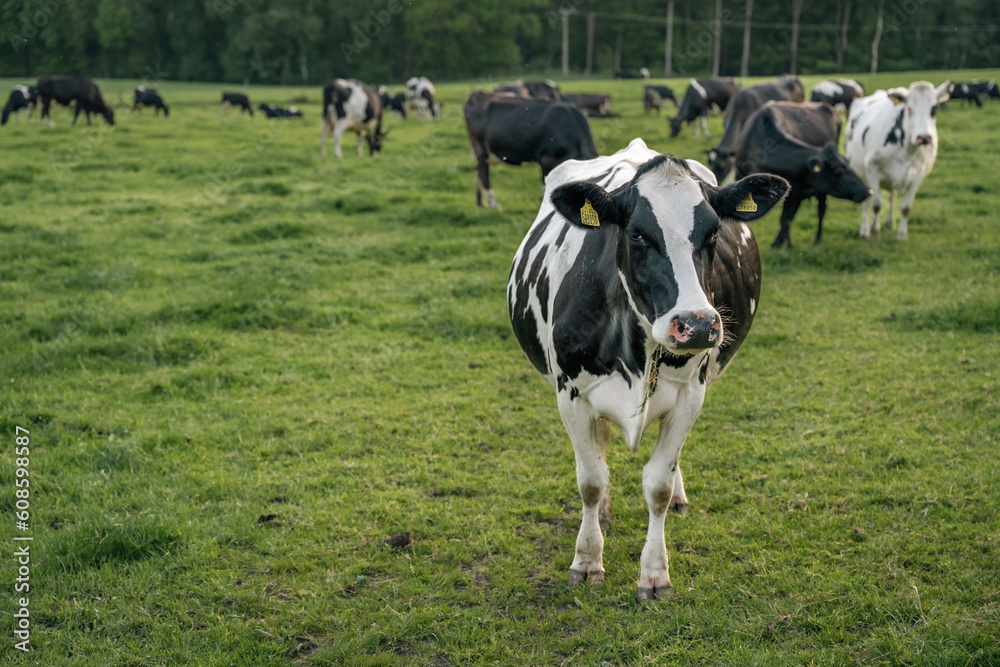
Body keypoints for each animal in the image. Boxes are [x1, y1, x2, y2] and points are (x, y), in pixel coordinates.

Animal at [464, 92, 596, 209]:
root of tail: (479, 95)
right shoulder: (546, 159)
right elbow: (546, 187)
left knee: (478, 171)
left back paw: (481, 202)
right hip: (481, 150)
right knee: (484, 175)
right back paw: (495, 205)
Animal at [508, 138, 788, 604]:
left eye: (714, 232)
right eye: (637, 233)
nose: (696, 324)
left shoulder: (691, 395)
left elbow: (657, 483)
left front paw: (655, 574)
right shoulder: (571, 394)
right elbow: (590, 480)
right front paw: (587, 561)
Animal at [732, 98, 872, 247]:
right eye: (839, 170)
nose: (868, 190)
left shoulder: (796, 192)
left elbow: (786, 219)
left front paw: (786, 245)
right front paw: (778, 244)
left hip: (820, 191)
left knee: (821, 210)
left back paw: (817, 238)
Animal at [848, 80, 956, 240]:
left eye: (934, 108)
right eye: (909, 108)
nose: (924, 137)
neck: (906, 149)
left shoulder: (918, 174)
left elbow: (906, 207)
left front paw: (902, 235)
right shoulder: (872, 170)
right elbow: (876, 204)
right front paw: (875, 232)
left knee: (891, 196)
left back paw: (889, 223)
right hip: (860, 172)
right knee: (866, 202)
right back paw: (864, 231)